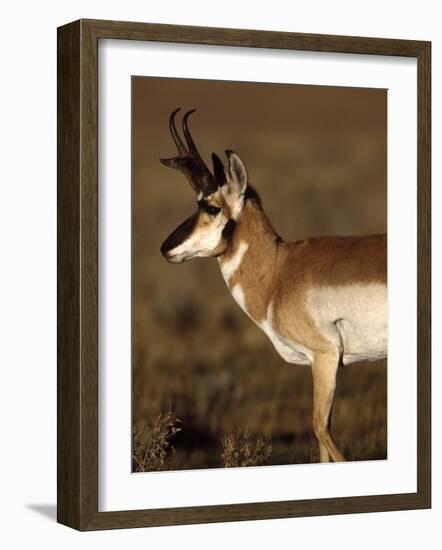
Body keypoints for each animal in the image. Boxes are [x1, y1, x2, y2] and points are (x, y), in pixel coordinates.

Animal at [160, 109, 386, 466]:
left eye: (211, 207)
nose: (165, 248)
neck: (280, 269)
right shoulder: (322, 365)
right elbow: (323, 437)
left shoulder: (325, 357)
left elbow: (320, 428)